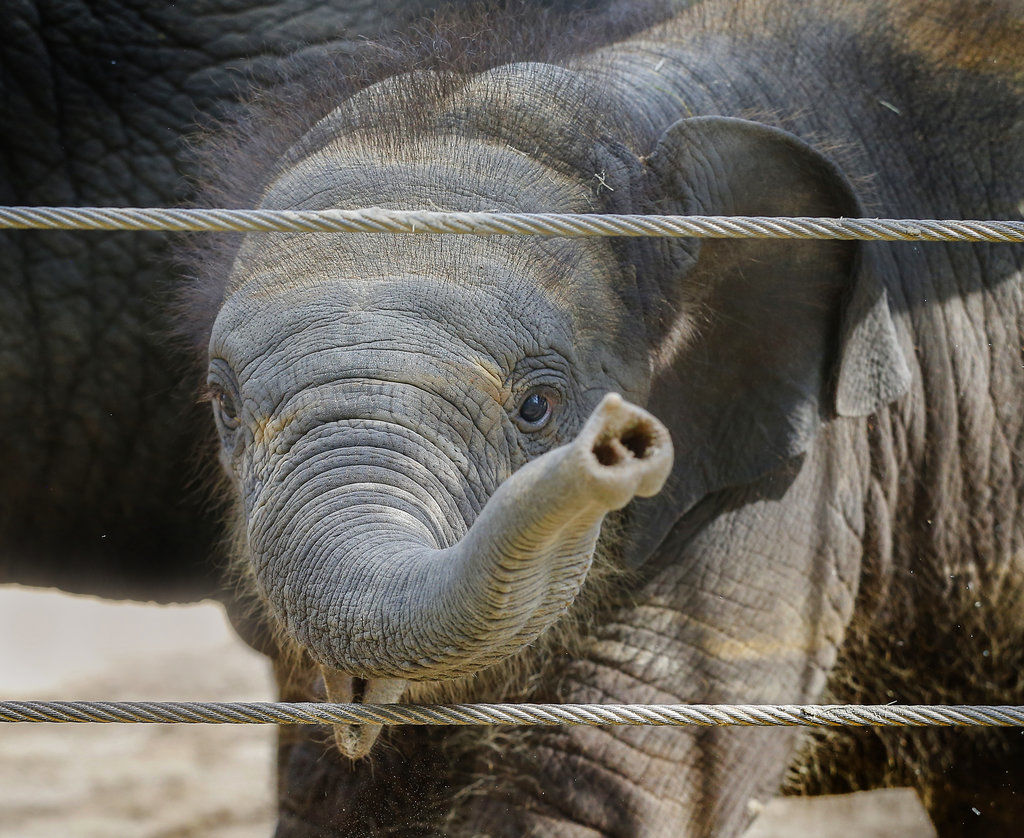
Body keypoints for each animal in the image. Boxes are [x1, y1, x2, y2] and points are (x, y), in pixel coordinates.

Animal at [184, 0, 1024, 831]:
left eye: (537, 407)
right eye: (223, 407)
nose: (622, 447)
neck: (628, 106)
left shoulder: (801, 472)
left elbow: (596, 776)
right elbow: (326, 798)